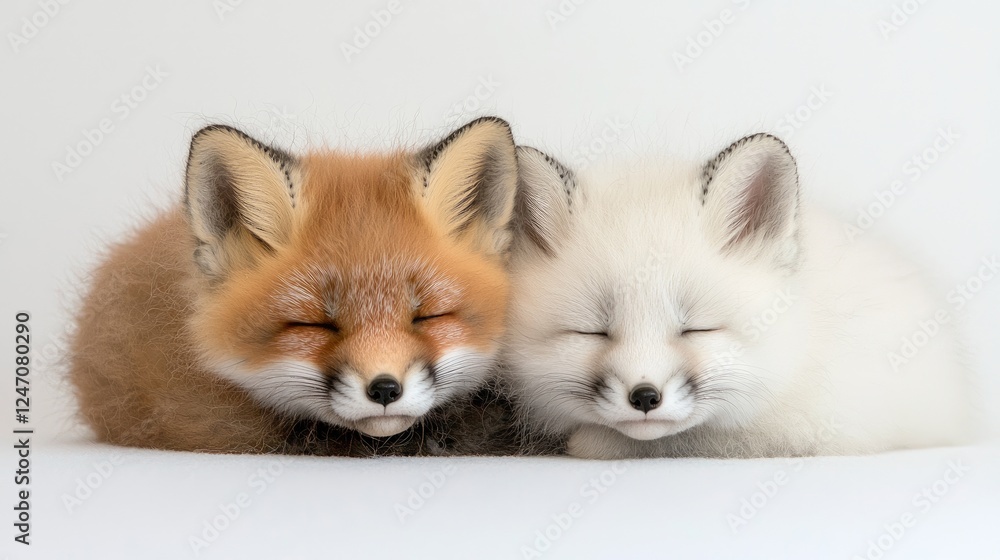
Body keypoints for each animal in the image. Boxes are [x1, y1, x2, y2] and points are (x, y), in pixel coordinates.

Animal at [503, 134, 976, 459]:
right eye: (593, 332)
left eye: (697, 329)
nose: (645, 398)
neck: (803, 343)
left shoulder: (823, 424)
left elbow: (693, 439)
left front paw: (595, 443)